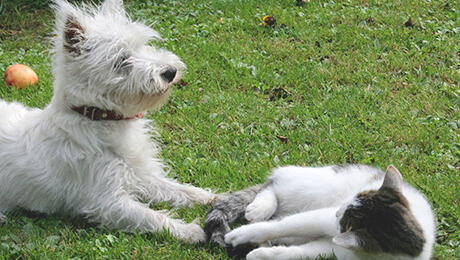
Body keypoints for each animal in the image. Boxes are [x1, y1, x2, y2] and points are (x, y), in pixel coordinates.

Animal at [0, 0, 217, 244]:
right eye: (122, 60)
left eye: (143, 46)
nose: (170, 72)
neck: (100, 120)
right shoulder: (106, 202)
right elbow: (150, 217)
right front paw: (189, 231)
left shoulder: (141, 175)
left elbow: (175, 189)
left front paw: (212, 197)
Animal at [205, 165, 434, 260]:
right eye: (353, 197)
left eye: (346, 222)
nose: (337, 212)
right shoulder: (323, 217)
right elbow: (286, 224)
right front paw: (242, 234)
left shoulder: (336, 249)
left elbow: (299, 253)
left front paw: (264, 255)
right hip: (316, 187)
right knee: (274, 185)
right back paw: (261, 208)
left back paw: (264, 242)